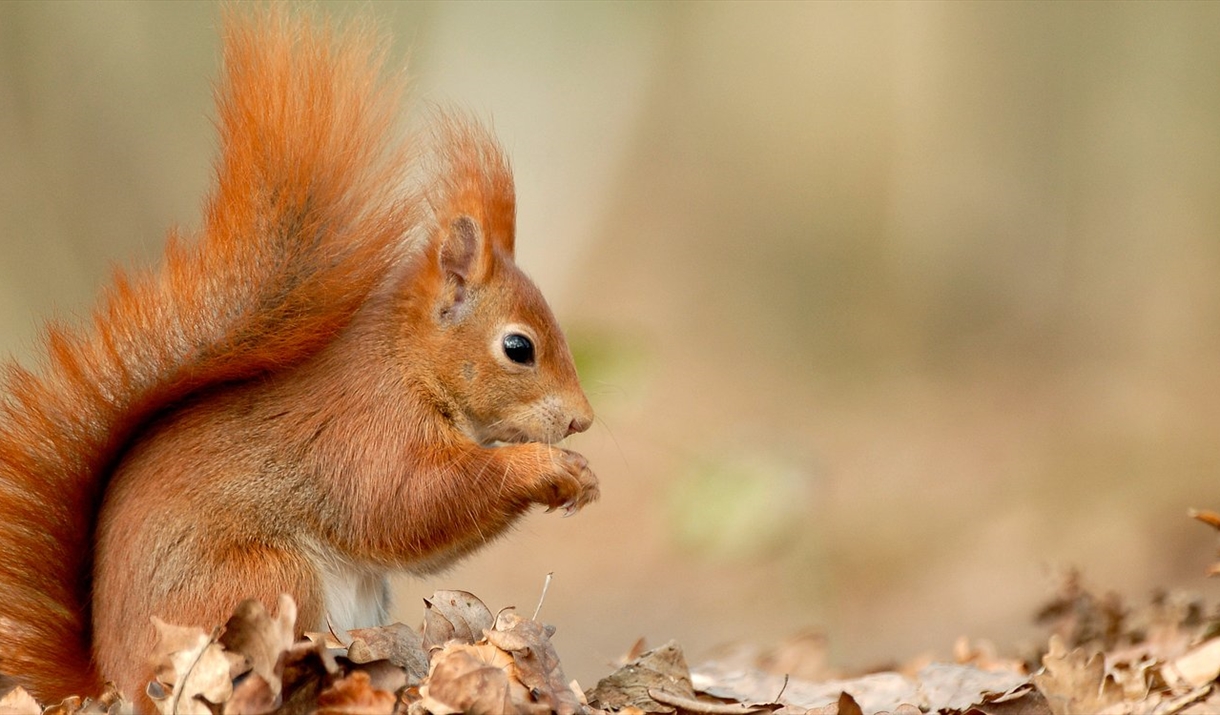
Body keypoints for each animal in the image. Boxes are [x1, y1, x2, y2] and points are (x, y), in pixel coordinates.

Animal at [0, 9, 598, 707]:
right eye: (518, 348)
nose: (582, 420)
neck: (408, 365)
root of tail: (109, 678)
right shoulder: (368, 433)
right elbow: (411, 502)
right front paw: (546, 467)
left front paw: (581, 473)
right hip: (264, 580)